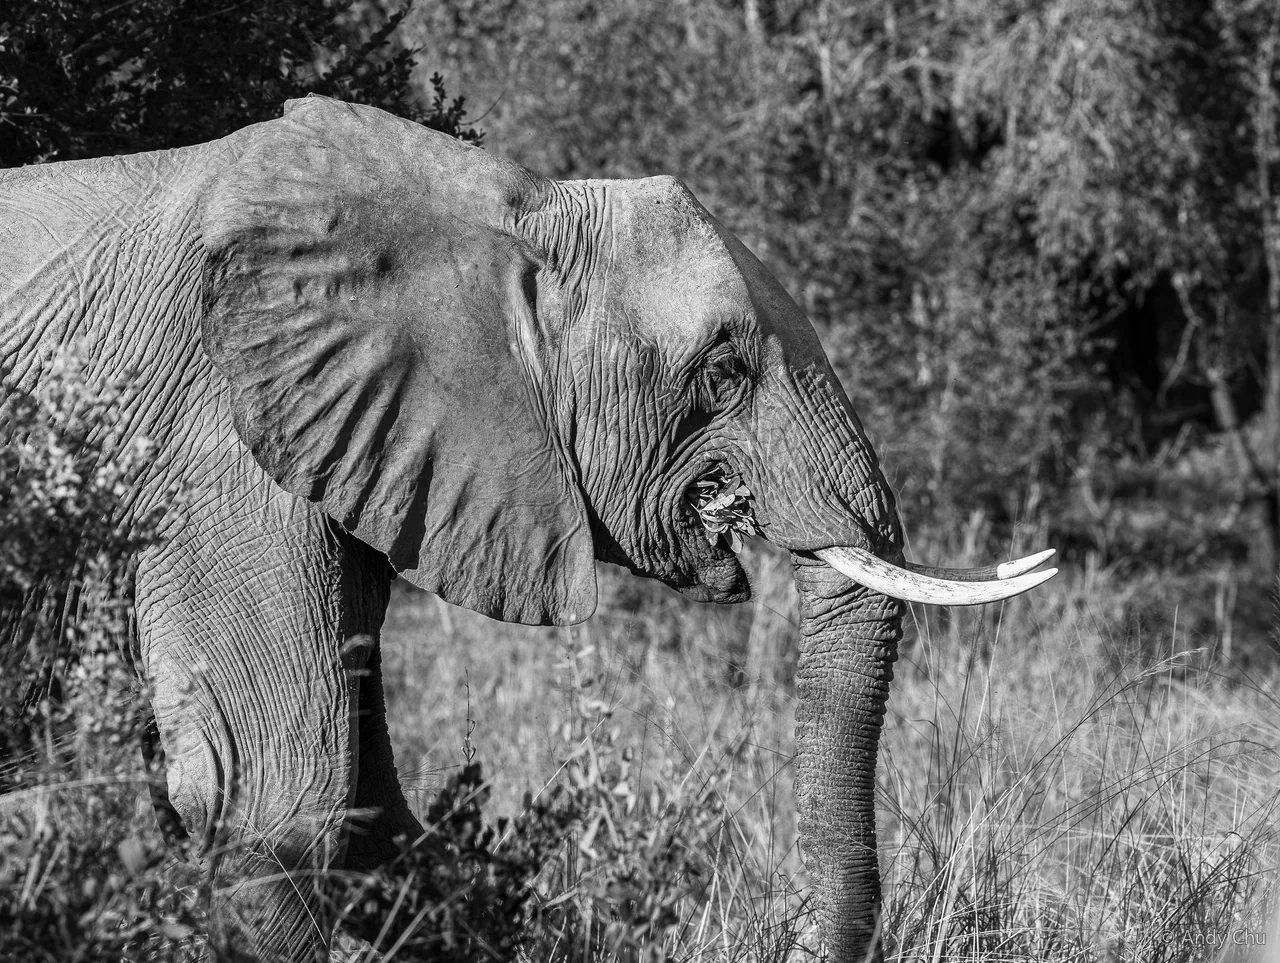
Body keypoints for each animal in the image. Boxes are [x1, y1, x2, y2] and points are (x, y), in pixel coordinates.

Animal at [0, 96, 1055, 962]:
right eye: (723, 371)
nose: (787, 935)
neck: (511, 216)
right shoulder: (216, 452)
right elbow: (272, 803)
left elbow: (379, 816)